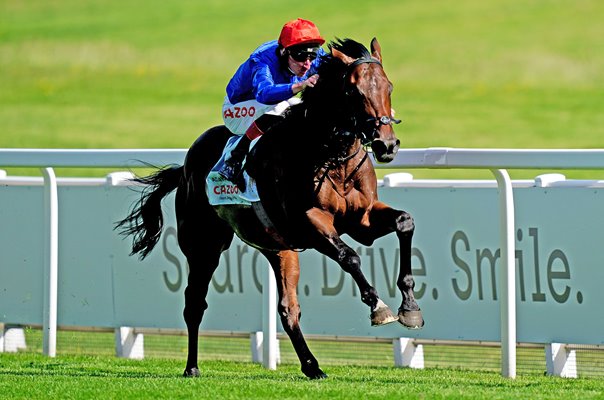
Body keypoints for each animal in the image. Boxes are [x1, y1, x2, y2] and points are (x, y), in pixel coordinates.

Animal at [115, 36, 422, 378]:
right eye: (354, 92)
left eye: (388, 86)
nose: (387, 145)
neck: (329, 154)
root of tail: (185, 166)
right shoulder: (310, 222)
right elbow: (349, 257)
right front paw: (379, 306)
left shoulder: (362, 220)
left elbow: (404, 222)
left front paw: (410, 307)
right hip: (203, 244)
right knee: (194, 303)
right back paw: (191, 367)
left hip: (279, 249)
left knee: (288, 309)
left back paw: (312, 366)